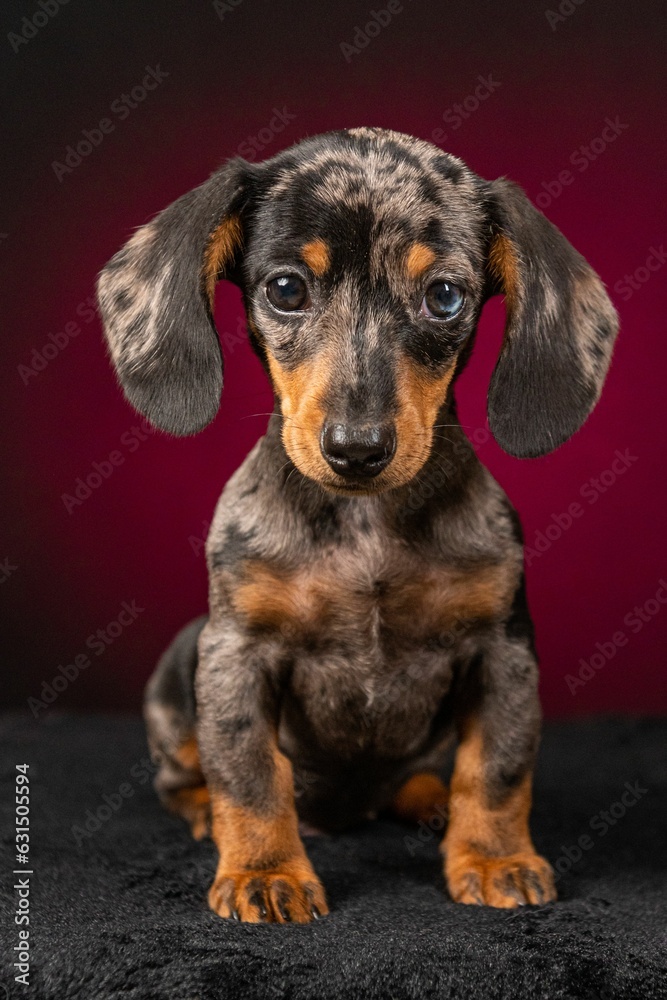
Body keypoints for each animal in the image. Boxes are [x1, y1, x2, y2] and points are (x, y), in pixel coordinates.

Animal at [96, 129, 620, 924]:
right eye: (285, 289)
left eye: (444, 296)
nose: (357, 450)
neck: (366, 524)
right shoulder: (236, 652)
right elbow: (249, 771)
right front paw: (264, 872)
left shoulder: (503, 651)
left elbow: (496, 769)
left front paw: (493, 857)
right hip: (178, 667)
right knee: (184, 778)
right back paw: (205, 815)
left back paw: (430, 801)